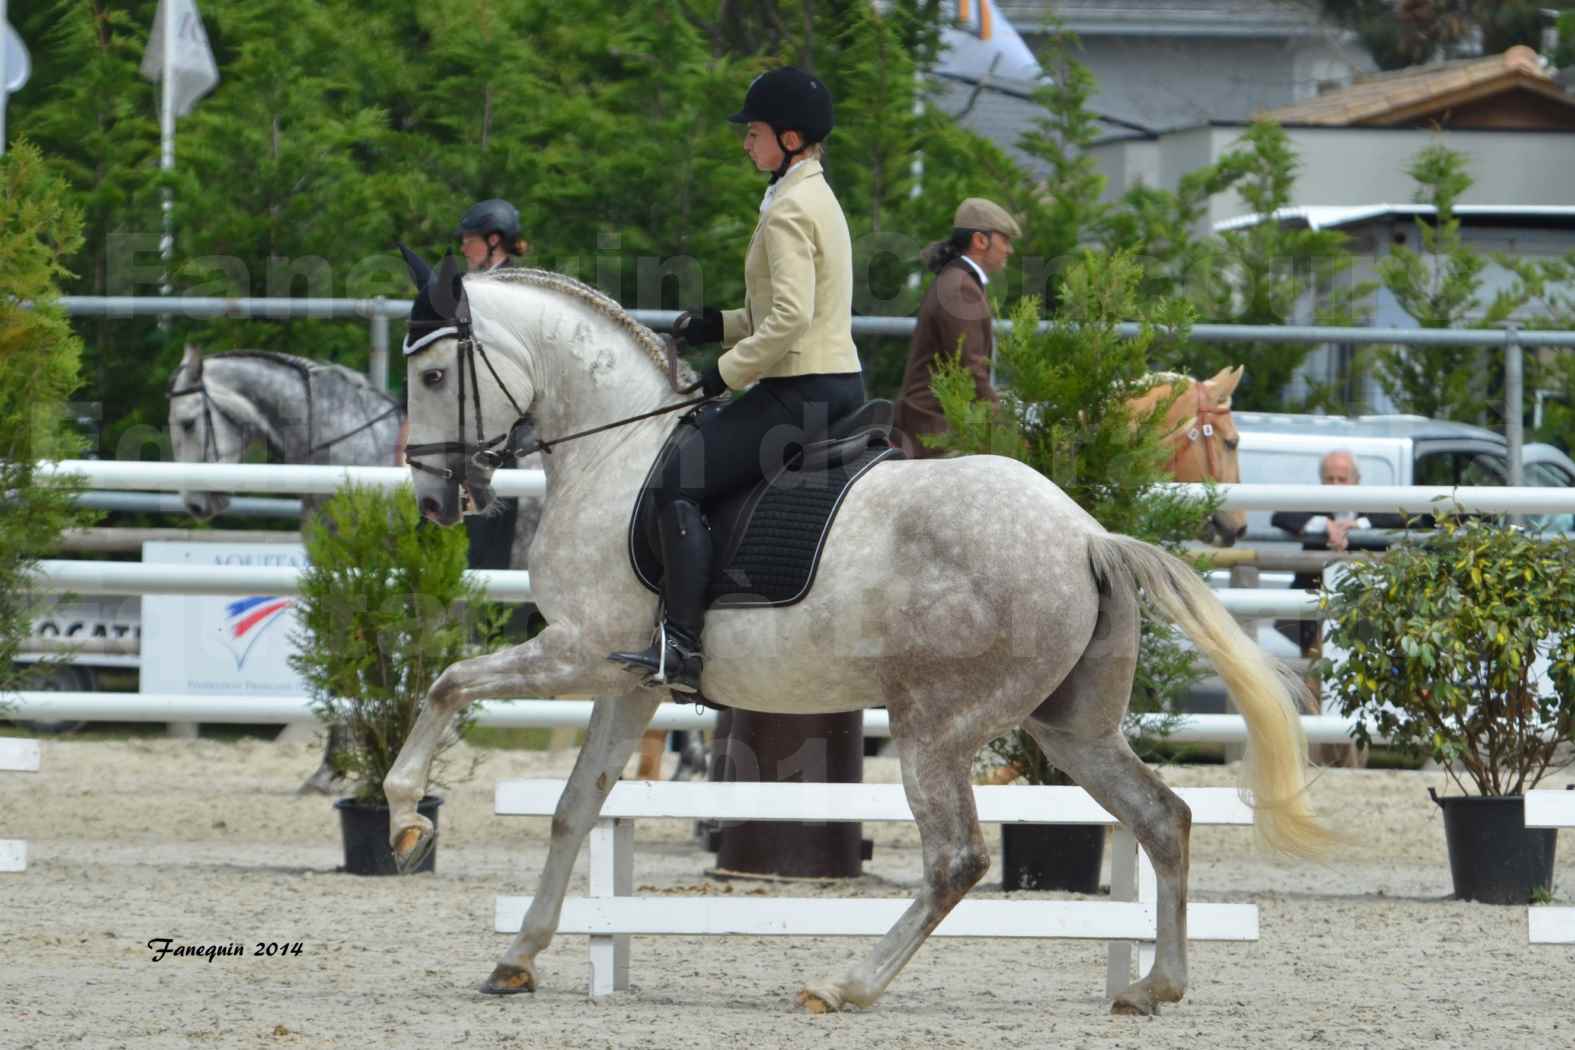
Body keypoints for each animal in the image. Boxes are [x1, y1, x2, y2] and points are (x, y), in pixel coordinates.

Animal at [381, 267, 1329, 1013]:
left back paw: (846, 985)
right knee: (1160, 817)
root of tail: (1086, 535)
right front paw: (516, 958)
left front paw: (404, 820)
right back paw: (1152, 986)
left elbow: (447, 684)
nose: (433, 500)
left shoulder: (576, 650)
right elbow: (574, 809)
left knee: (957, 859)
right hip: (1071, 727)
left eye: (431, 371)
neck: (616, 456)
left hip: (935, 726)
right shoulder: (630, 684)